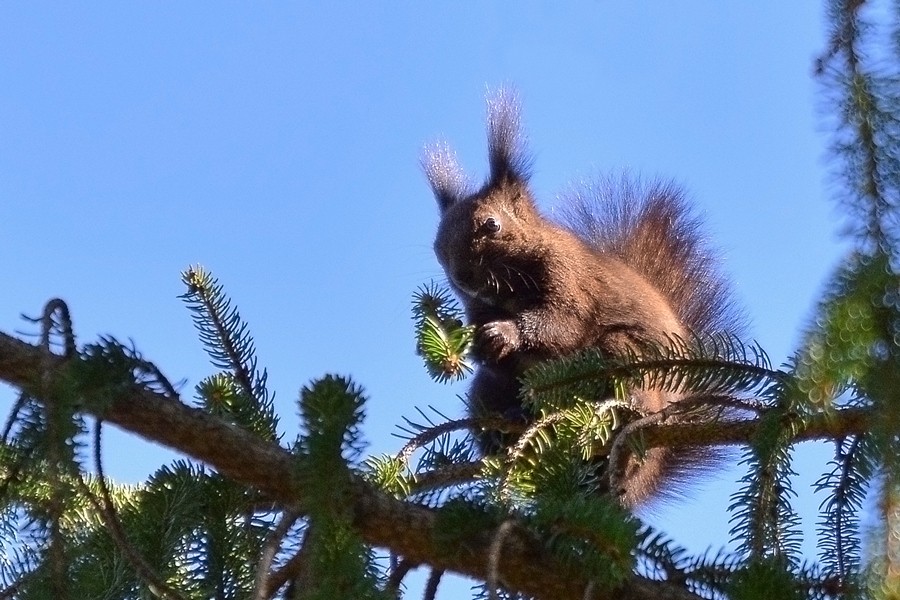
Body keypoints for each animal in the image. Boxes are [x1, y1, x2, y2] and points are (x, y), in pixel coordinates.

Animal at [422, 89, 744, 508]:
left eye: (492, 225)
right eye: (436, 246)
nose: (462, 277)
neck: (505, 293)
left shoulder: (570, 281)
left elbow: (561, 322)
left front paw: (505, 333)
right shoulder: (476, 307)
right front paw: (478, 343)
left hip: (625, 355)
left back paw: (625, 416)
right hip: (484, 394)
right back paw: (506, 434)